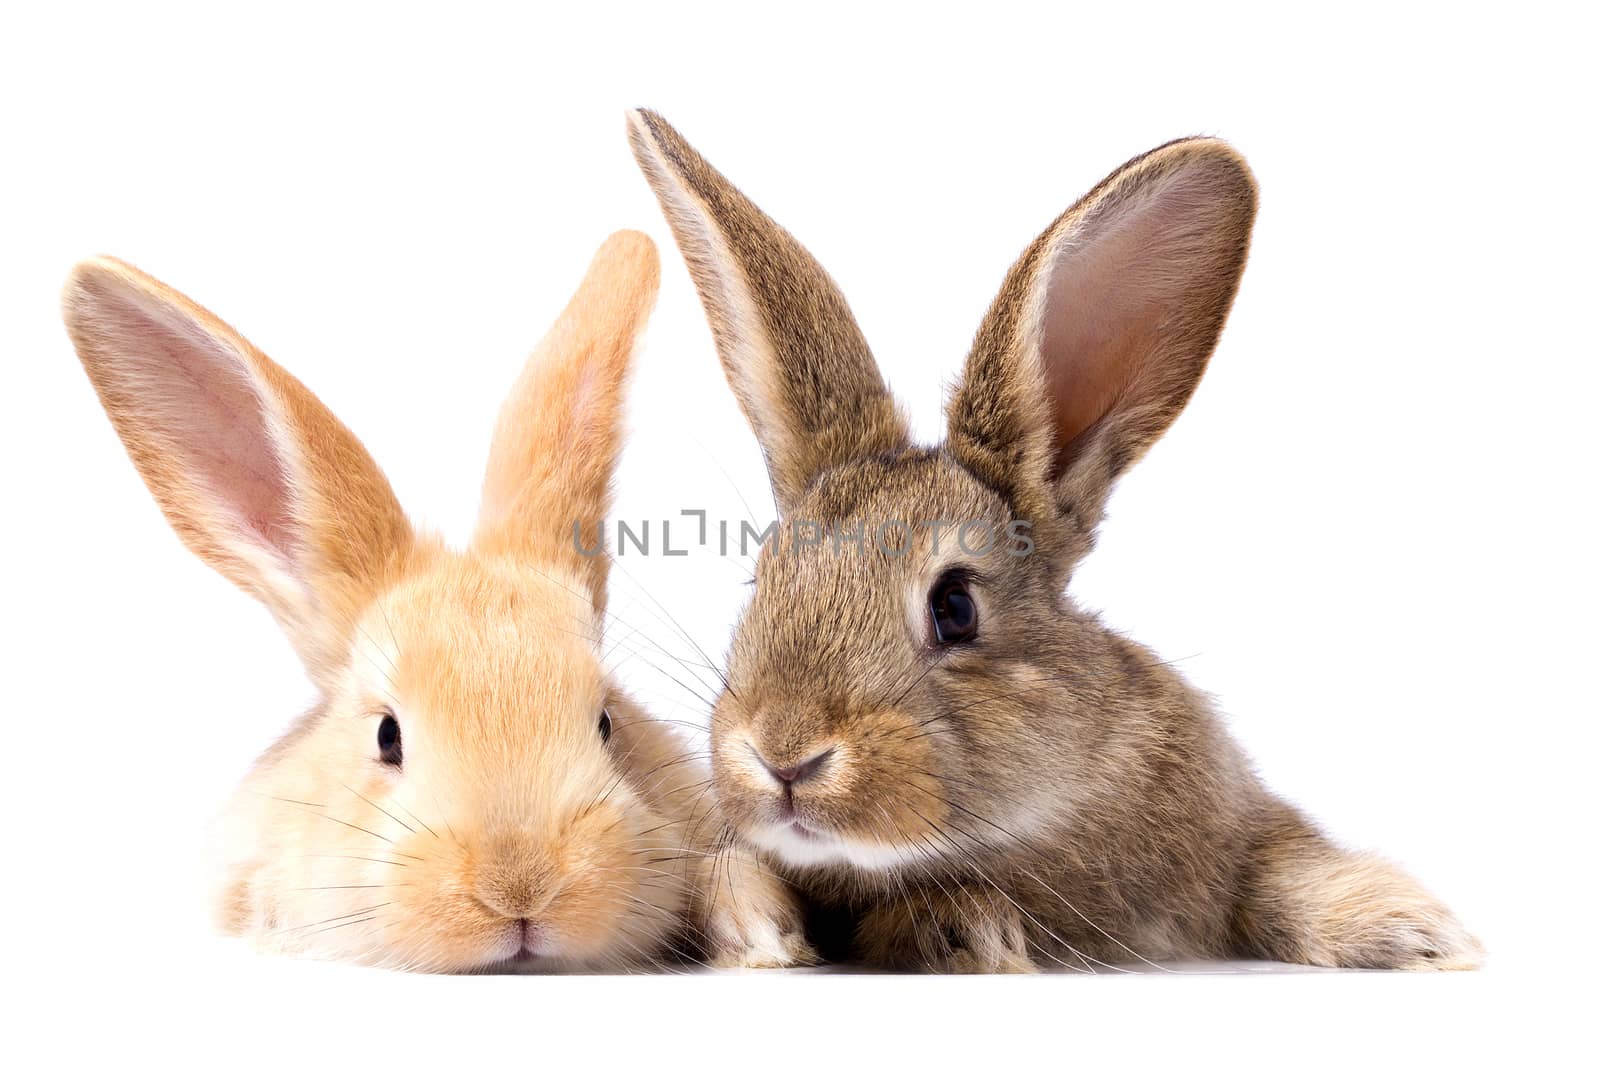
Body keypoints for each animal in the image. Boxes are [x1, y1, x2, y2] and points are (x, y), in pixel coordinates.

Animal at [630, 110, 1478, 979]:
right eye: (762, 580)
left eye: (956, 605)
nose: (784, 753)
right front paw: (792, 934)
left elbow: (1282, 867)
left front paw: (1413, 928)